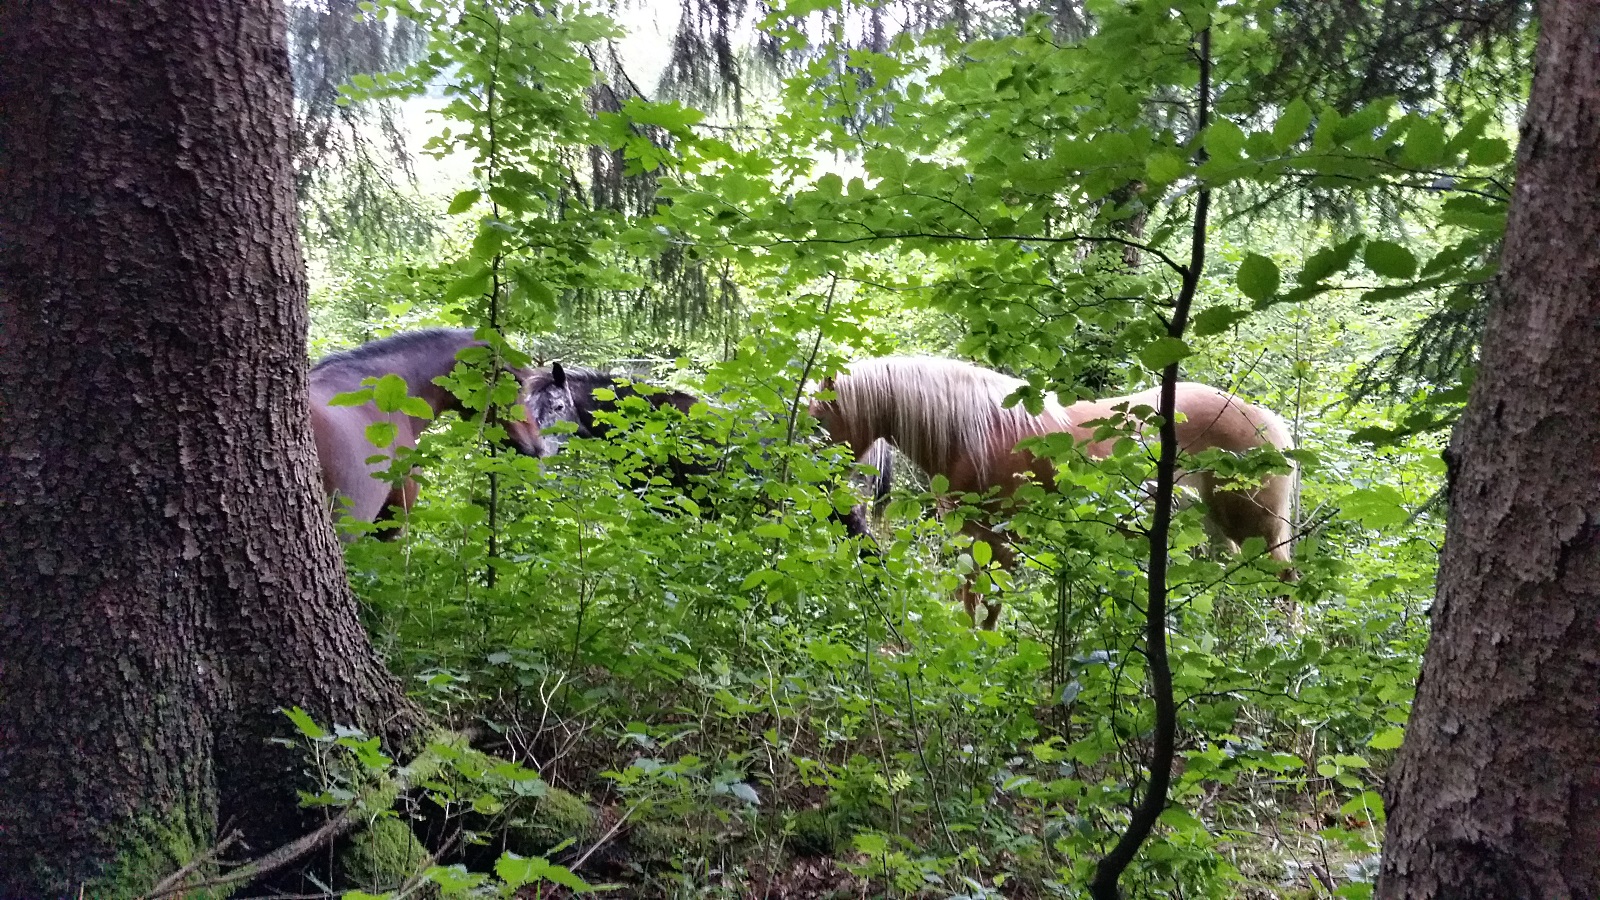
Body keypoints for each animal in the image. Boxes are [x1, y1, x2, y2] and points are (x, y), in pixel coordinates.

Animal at [808, 356, 1298, 627]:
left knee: (1286, 586)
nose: (815, 478)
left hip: (1256, 527)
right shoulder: (970, 535)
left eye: (820, 417)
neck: (972, 431)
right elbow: (971, 596)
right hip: (1219, 530)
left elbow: (987, 600)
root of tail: (1268, 423)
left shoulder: (996, 537)